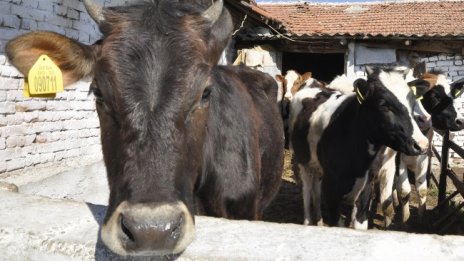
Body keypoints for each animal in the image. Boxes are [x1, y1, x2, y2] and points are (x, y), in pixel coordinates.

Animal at [290, 66, 428, 228]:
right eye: (383, 105)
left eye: (412, 103)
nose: (422, 144)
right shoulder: (331, 189)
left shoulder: (367, 186)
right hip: (303, 161)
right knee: (307, 191)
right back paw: (308, 221)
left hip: (317, 166)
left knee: (316, 192)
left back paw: (318, 220)